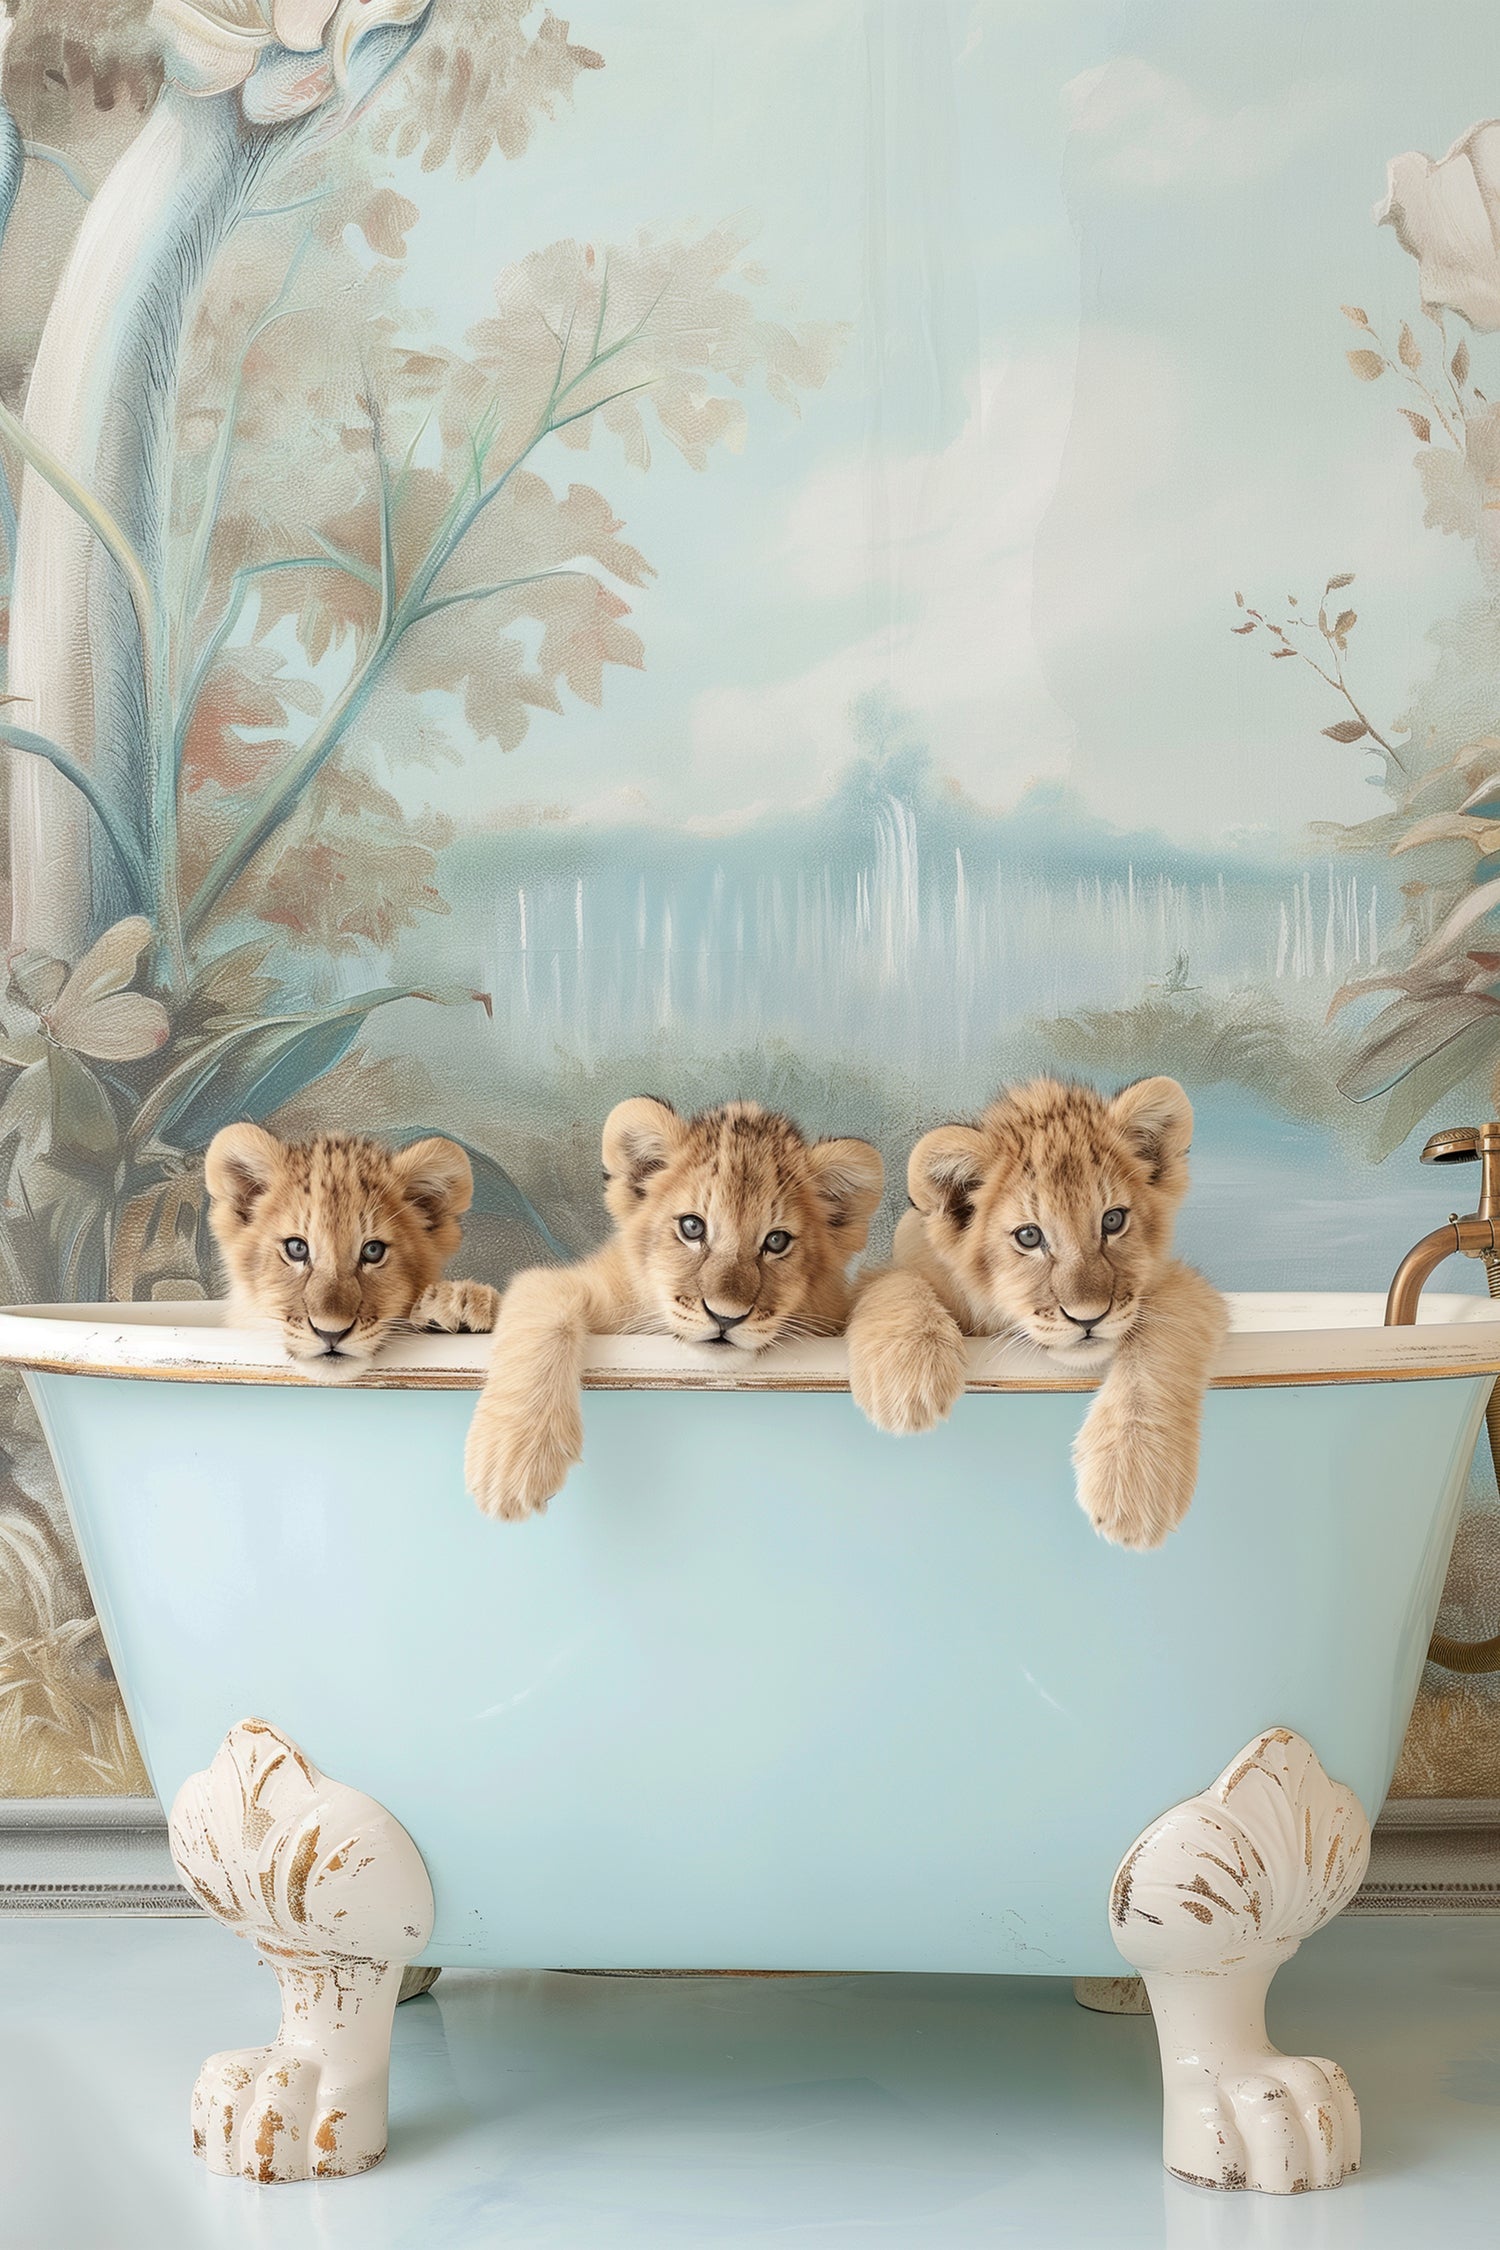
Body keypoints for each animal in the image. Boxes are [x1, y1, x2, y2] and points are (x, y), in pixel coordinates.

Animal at [464, 1096, 884, 1520]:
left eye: (776, 1241)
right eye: (692, 1227)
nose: (725, 1316)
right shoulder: (576, 1283)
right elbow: (544, 1306)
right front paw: (511, 1461)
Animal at [847, 1076, 1227, 1549]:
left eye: (1113, 1220)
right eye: (1029, 1236)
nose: (1087, 1317)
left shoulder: (1185, 1286)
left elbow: (1162, 1345)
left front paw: (1136, 1480)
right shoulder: (882, 1271)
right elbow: (894, 1281)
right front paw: (908, 1384)